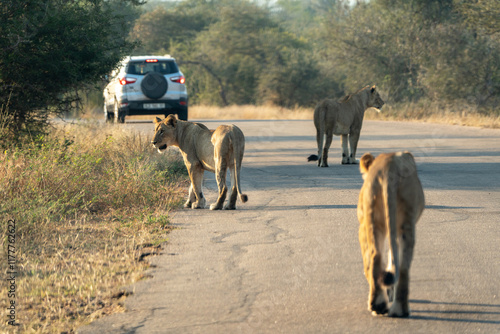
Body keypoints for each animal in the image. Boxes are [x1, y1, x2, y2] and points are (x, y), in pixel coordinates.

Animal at [358, 153, 424, 318]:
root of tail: (389, 168)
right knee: (403, 266)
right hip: (404, 221)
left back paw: (379, 305)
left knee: (376, 256)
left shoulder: (363, 226)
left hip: (375, 219)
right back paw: (399, 309)